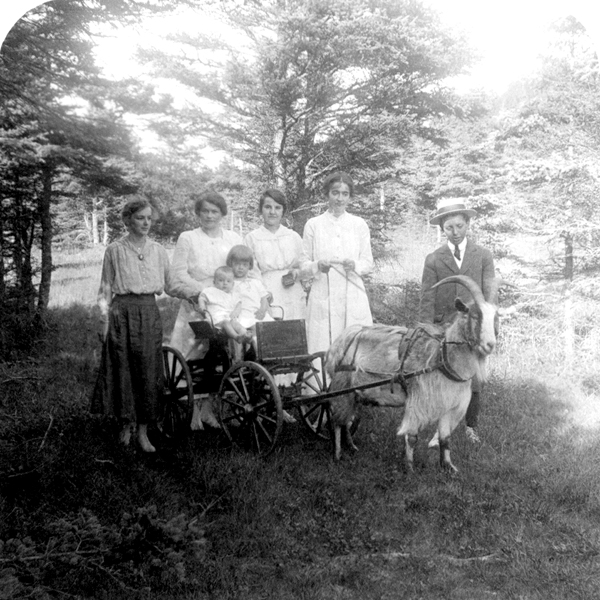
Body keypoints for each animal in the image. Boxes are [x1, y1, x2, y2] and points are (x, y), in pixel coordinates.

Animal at [324, 274, 502, 472]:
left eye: (495, 319)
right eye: (475, 315)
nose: (490, 345)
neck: (442, 358)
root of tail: (339, 342)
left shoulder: (450, 405)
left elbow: (445, 438)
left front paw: (448, 468)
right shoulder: (419, 402)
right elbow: (411, 437)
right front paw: (409, 468)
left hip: (355, 394)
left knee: (346, 420)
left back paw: (351, 446)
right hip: (342, 387)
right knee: (337, 421)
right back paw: (337, 454)